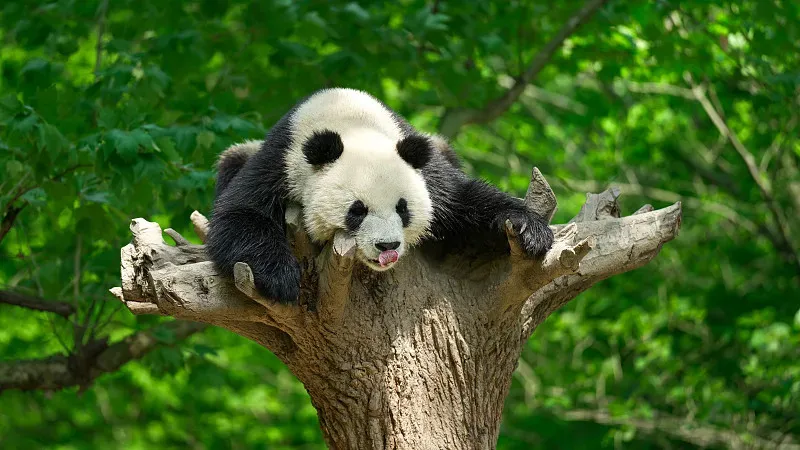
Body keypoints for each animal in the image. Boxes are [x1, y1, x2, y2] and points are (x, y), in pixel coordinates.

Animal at [206, 88, 554, 304]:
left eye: (403, 208)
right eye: (357, 210)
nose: (387, 246)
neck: (349, 123)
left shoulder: (423, 168)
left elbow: (463, 199)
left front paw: (528, 229)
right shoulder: (283, 161)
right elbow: (240, 214)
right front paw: (281, 277)